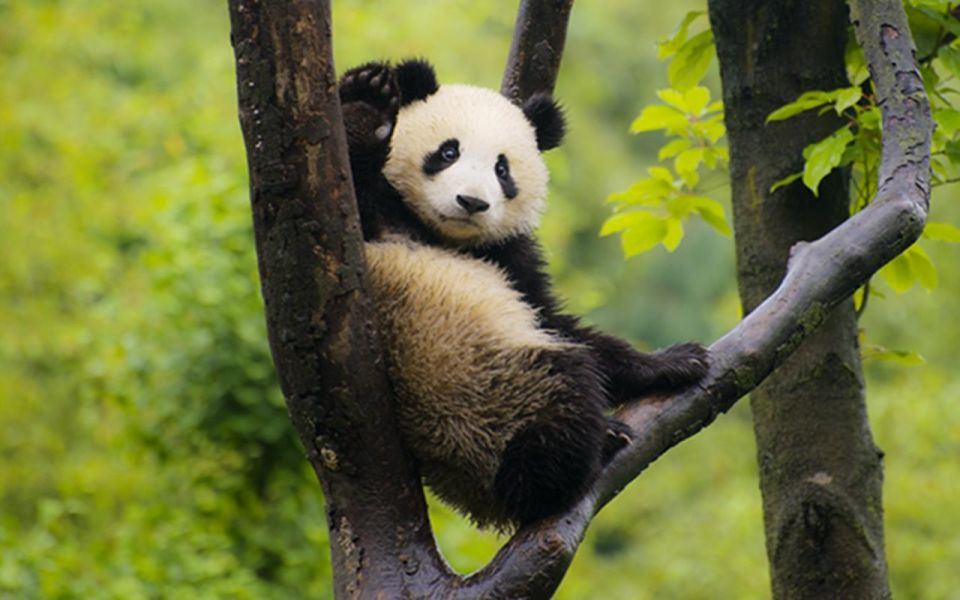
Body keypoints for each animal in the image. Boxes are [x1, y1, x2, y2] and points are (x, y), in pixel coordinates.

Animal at [337, 59, 708, 530]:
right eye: (448, 152)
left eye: (502, 169)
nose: (472, 202)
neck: (441, 234)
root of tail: (480, 500)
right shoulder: (372, 219)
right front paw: (367, 100)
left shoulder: (511, 261)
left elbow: (554, 320)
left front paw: (674, 361)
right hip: (491, 395)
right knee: (564, 394)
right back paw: (585, 457)